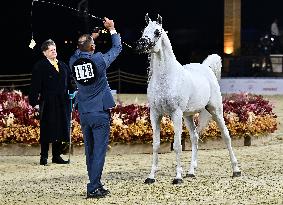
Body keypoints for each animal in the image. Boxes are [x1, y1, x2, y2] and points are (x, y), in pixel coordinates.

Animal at [136, 14, 242, 184]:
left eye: (157, 32)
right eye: (143, 30)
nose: (141, 44)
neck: (166, 78)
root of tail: (206, 67)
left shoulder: (176, 113)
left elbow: (177, 145)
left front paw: (177, 178)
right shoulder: (155, 114)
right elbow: (156, 144)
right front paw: (151, 177)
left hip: (215, 110)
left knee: (226, 136)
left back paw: (236, 170)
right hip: (188, 116)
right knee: (195, 138)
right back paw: (191, 172)